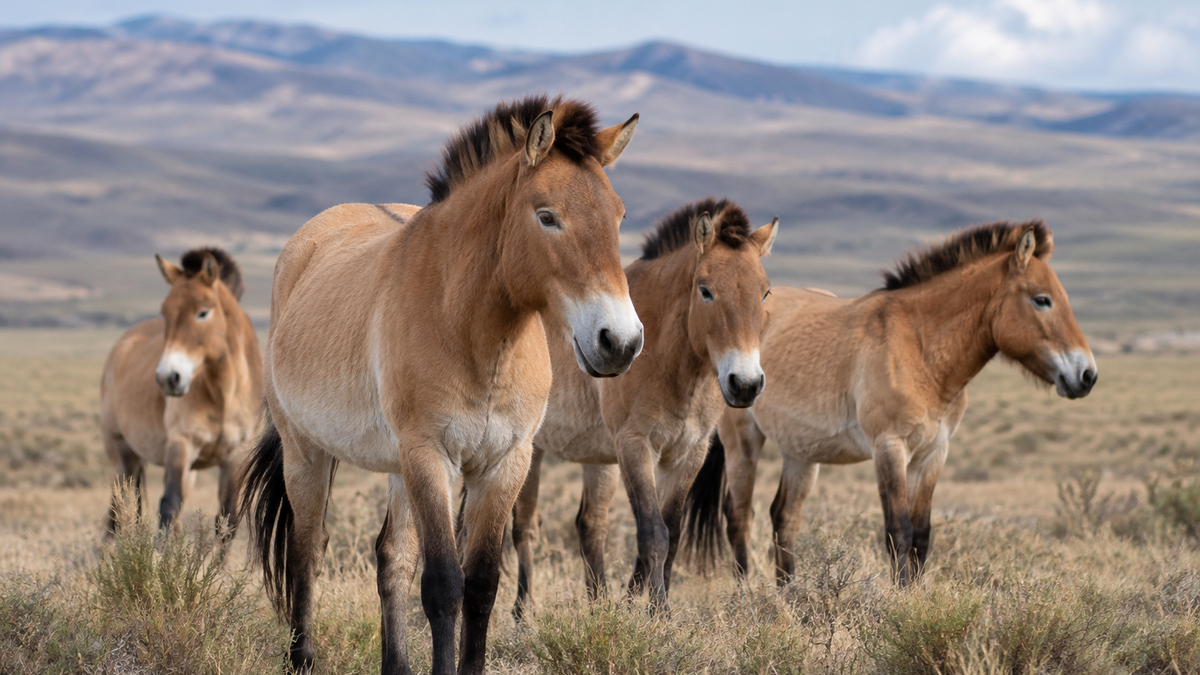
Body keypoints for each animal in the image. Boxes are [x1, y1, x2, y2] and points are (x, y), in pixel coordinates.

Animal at [99, 248, 263, 538]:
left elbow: (227, 519)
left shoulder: (235, 457)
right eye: (165, 311)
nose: (168, 378)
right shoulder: (181, 444)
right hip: (122, 455)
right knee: (117, 512)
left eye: (203, 312)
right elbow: (169, 505)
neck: (224, 394)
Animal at [239, 95, 642, 675]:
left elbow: (480, 585)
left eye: (618, 216)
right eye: (547, 217)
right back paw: (303, 659)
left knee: (391, 557)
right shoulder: (430, 456)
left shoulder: (505, 464)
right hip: (308, 453)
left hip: (396, 467)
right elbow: (443, 585)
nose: (621, 342)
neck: (473, 331)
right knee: (307, 549)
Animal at [509, 198, 777, 616]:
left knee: (591, 525)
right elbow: (653, 531)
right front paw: (659, 613)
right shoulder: (636, 446)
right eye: (706, 291)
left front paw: (637, 603)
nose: (745, 383)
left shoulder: (688, 453)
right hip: (531, 451)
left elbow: (672, 530)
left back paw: (597, 604)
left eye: (764, 293)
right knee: (524, 527)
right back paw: (524, 612)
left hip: (597, 460)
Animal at [682, 220, 1097, 586]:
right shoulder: (889, 447)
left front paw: (916, 600)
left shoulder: (933, 453)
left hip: (800, 453)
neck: (920, 349)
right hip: (744, 441)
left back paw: (789, 597)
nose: (1087, 375)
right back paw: (747, 596)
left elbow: (922, 535)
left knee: (784, 517)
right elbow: (898, 531)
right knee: (740, 516)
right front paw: (899, 605)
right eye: (1041, 300)